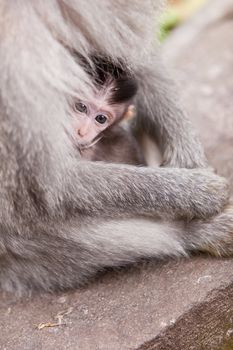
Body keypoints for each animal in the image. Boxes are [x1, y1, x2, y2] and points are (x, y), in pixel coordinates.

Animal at [0, 1, 233, 294]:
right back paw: (191, 232)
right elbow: (53, 182)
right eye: (81, 107)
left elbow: (128, 45)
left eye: (100, 118)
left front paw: (188, 156)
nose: (81, 130)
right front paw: (197, 192)